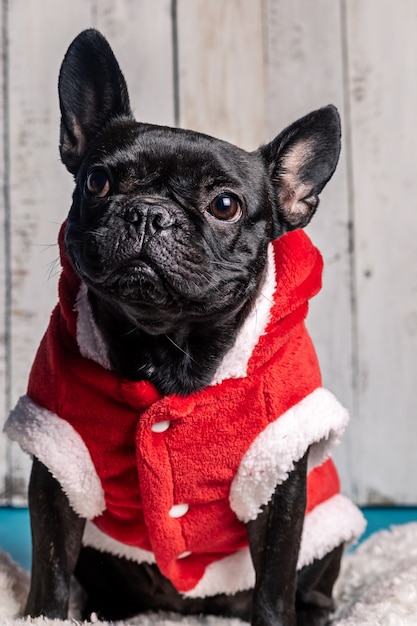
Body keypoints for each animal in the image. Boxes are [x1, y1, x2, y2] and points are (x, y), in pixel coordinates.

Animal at [3, 29, 362, 624]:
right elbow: (51, 564)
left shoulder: (278, 481)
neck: (165, 340)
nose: (149, 212)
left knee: (312, 581)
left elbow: (275, 580)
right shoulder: (59, 460)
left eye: (225, 205)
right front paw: (46, 615)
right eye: (97, 181)